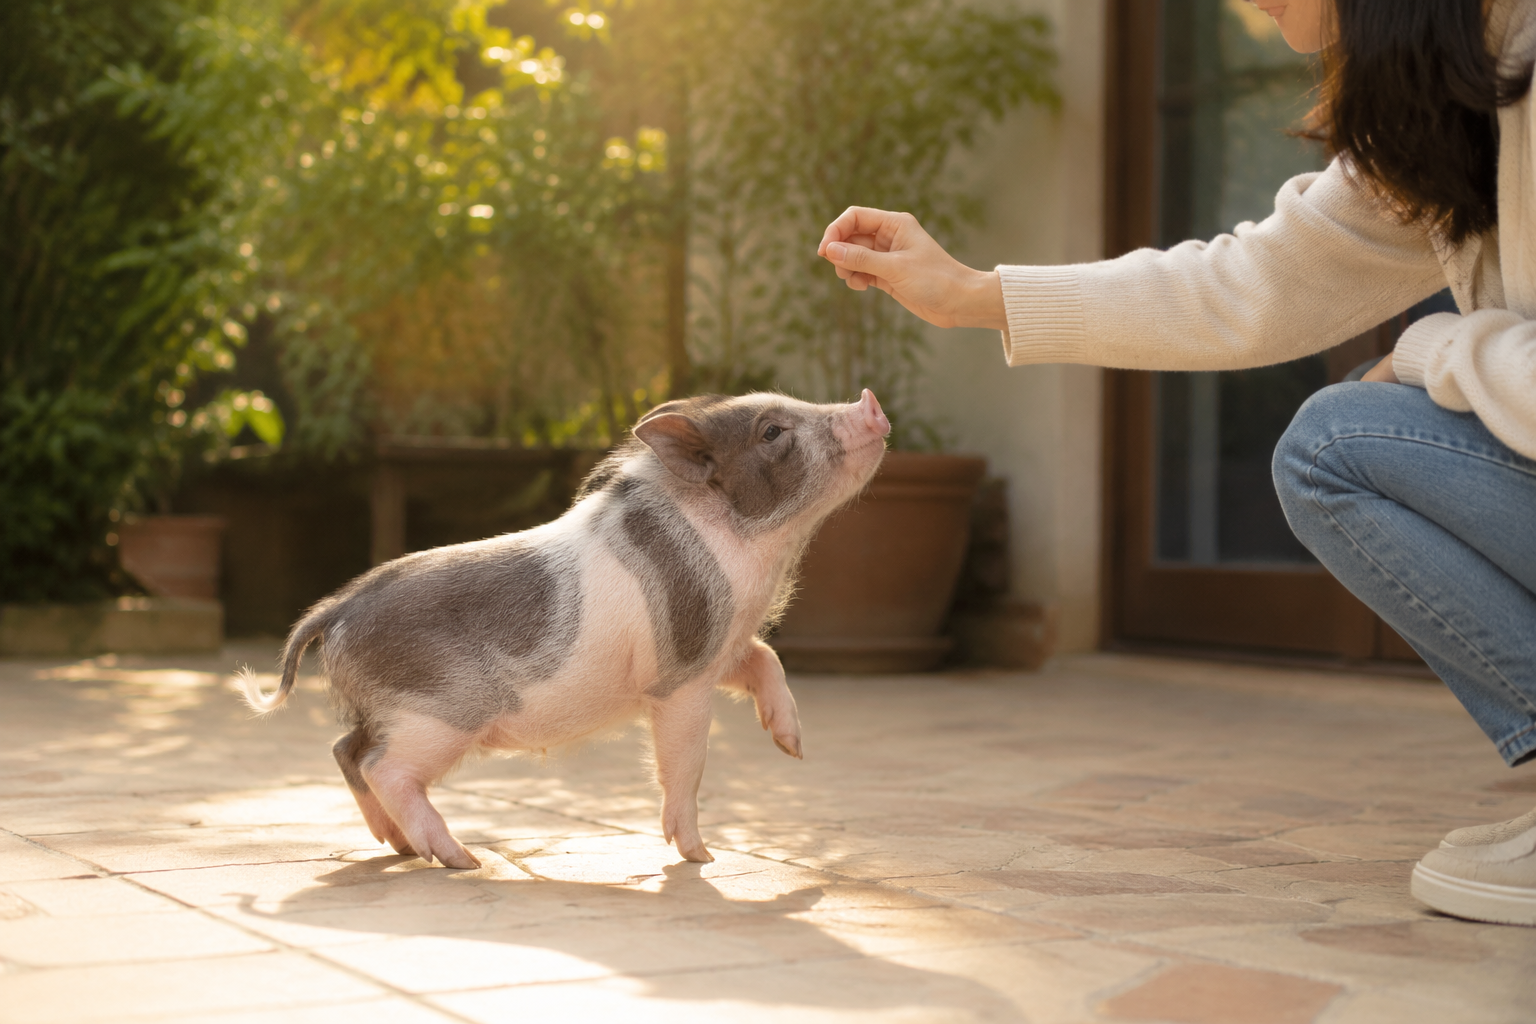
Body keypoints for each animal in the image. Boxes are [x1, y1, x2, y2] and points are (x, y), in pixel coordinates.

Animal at [240, 389, 891, 869]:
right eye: (772, 432)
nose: (870, 401)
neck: (750, 549)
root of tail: (337, 608)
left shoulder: (720, 645)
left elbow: (766, 659)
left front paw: (792, 746)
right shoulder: (680, 674)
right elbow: (686, 760)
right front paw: (700, 857)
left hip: (388, 711)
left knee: (346, 749)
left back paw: (398, 846)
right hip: (439, 714)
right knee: (382, 766)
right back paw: (461, 860)